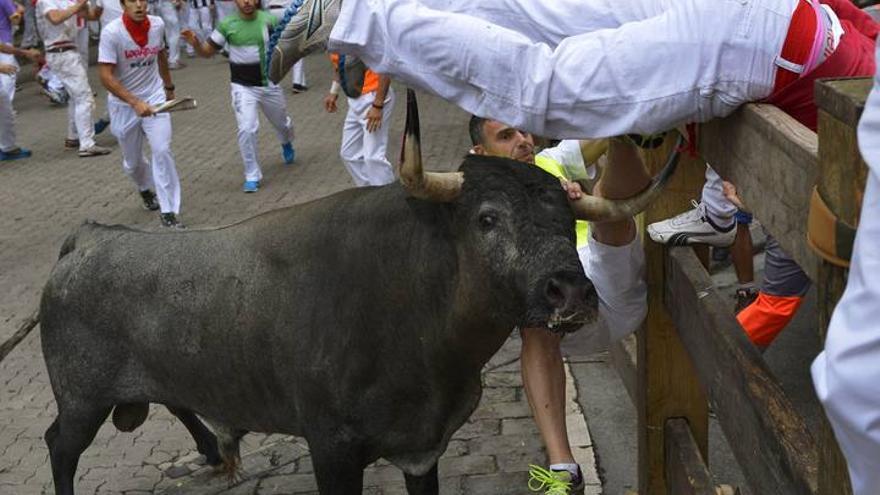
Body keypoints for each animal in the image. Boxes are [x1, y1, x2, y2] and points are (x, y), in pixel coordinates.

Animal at [43, 157, 604, 494]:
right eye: (487, 218)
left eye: (566, 220)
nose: (571, 290)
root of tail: (88, 239)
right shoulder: (331, 447)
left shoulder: (424, 448)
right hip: (81, 401)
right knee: (60, 447)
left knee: (178, 401)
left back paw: (212, 451)